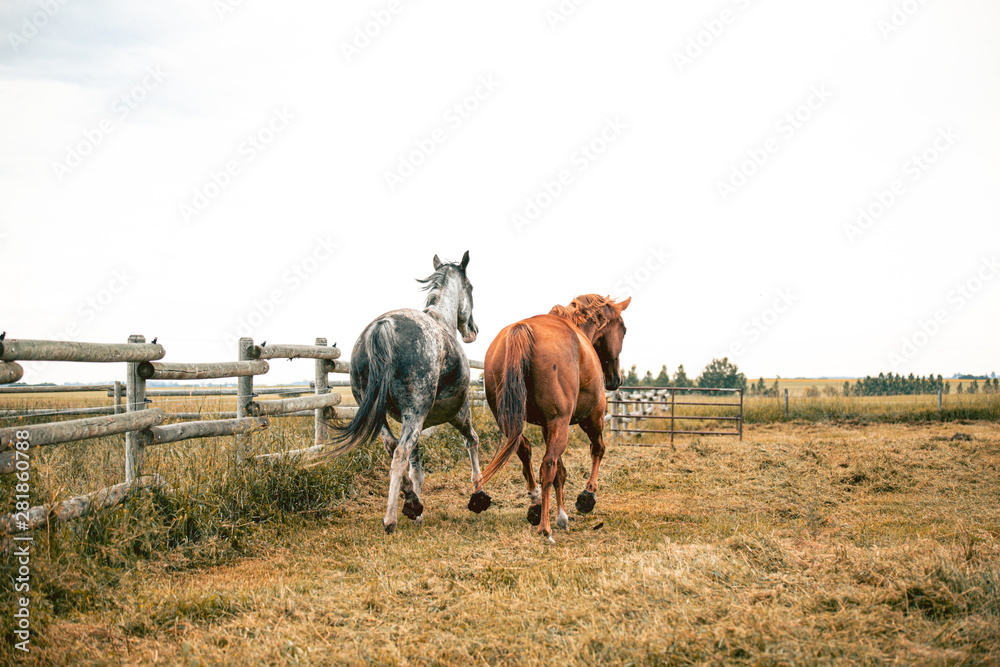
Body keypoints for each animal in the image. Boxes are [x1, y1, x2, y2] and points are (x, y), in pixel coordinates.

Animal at [320, 253, 492, 536]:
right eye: (471, 288)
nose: (472, 331)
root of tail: (382, 327)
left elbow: (416, 469)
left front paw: (417, 508)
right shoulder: (459, 412)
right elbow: (472, 442)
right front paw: (479, 496)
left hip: (383, 416)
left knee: (392, 448)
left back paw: (411, 502)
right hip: (418, 413)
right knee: (400, 452)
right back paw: (391, 518)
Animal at [474, 294, 628, 540]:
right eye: (623, 330)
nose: (616, 380)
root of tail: (521, 329)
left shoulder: (548, 426)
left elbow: (561, 472)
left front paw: (561, 514)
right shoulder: (590, 419)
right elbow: (597, 449)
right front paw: (587, 496)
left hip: (511, 421)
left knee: (525, 451)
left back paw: (536, 504)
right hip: (568, 422)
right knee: (548, 464)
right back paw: (545, 526)